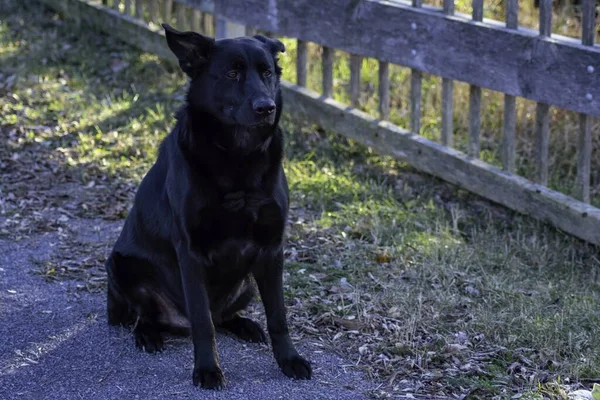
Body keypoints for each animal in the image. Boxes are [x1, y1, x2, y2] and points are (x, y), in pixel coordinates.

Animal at [105, 23, 312, 390]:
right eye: (231, 73)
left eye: (267, 73)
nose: (266, 107)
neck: (238, 157)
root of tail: (176, 322)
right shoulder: (190, 252)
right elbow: (203, 323)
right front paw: (207, 369)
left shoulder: (271, 249)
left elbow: (278, 316)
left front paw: (289, 359)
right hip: (120, 266)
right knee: (152, 313)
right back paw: (148, 333)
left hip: (247, 284)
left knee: (223, 315)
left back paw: (244, 324)